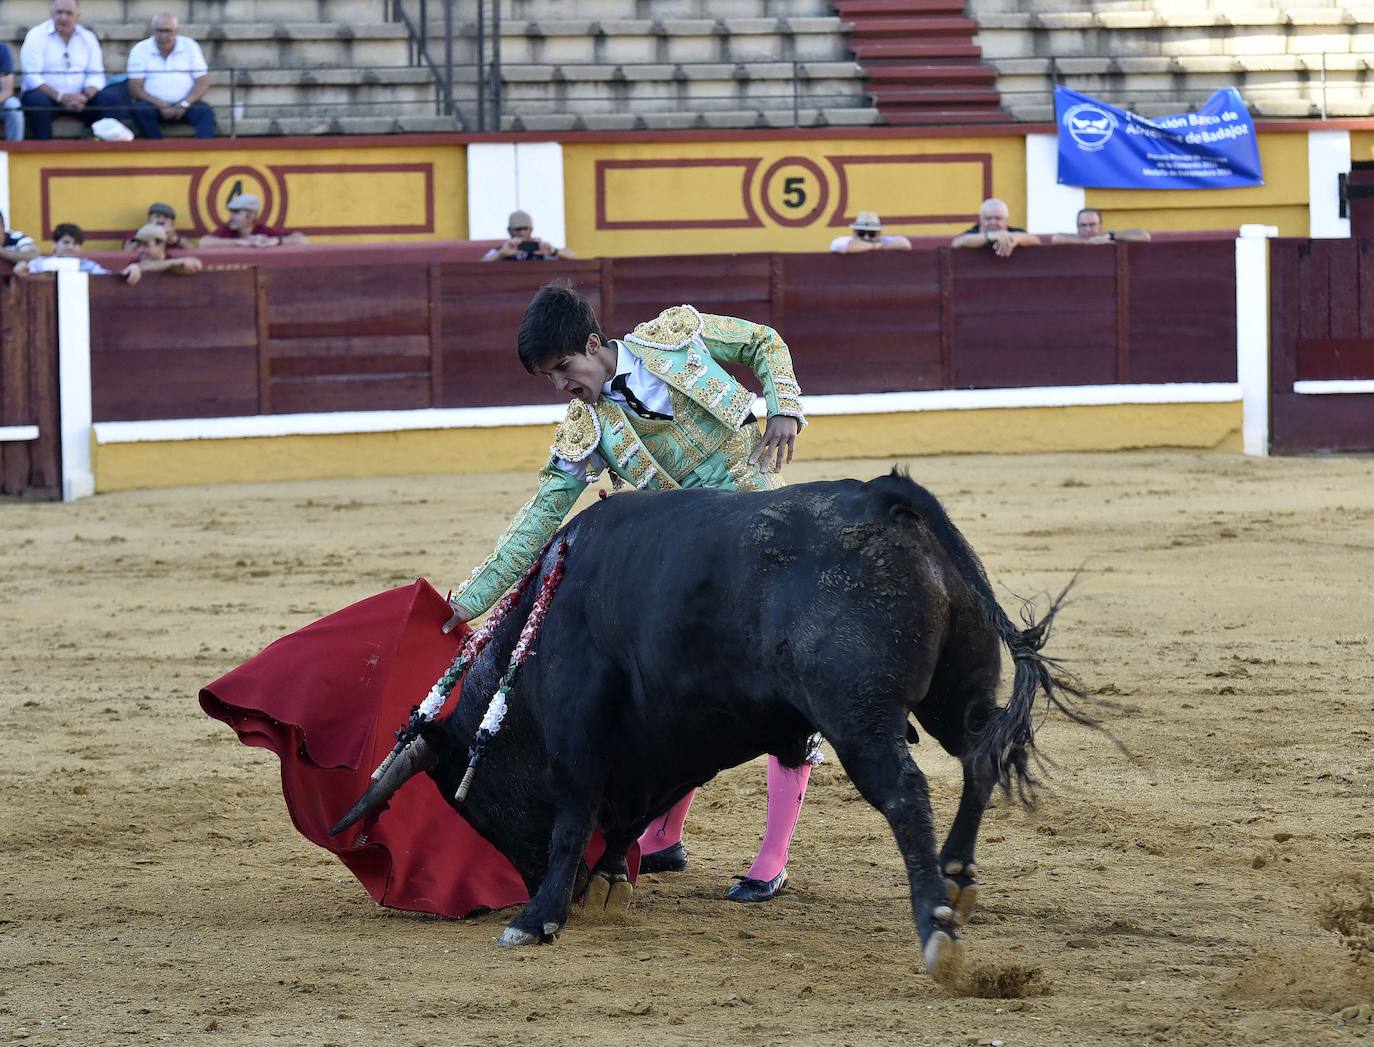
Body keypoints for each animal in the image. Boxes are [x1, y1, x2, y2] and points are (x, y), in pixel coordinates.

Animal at [332, 469, 1082, 972]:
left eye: (475, 805)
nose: (536, 885)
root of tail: (883, 496)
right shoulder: (666, 742)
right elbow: (625, 815)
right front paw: (607, 883)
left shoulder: (579, 729)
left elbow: (575, 814)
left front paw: (540, 916)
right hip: (956, 689)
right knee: (980, 754)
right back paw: (957, 877)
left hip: (860, 715)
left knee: (904, 792)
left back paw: (936, 928)